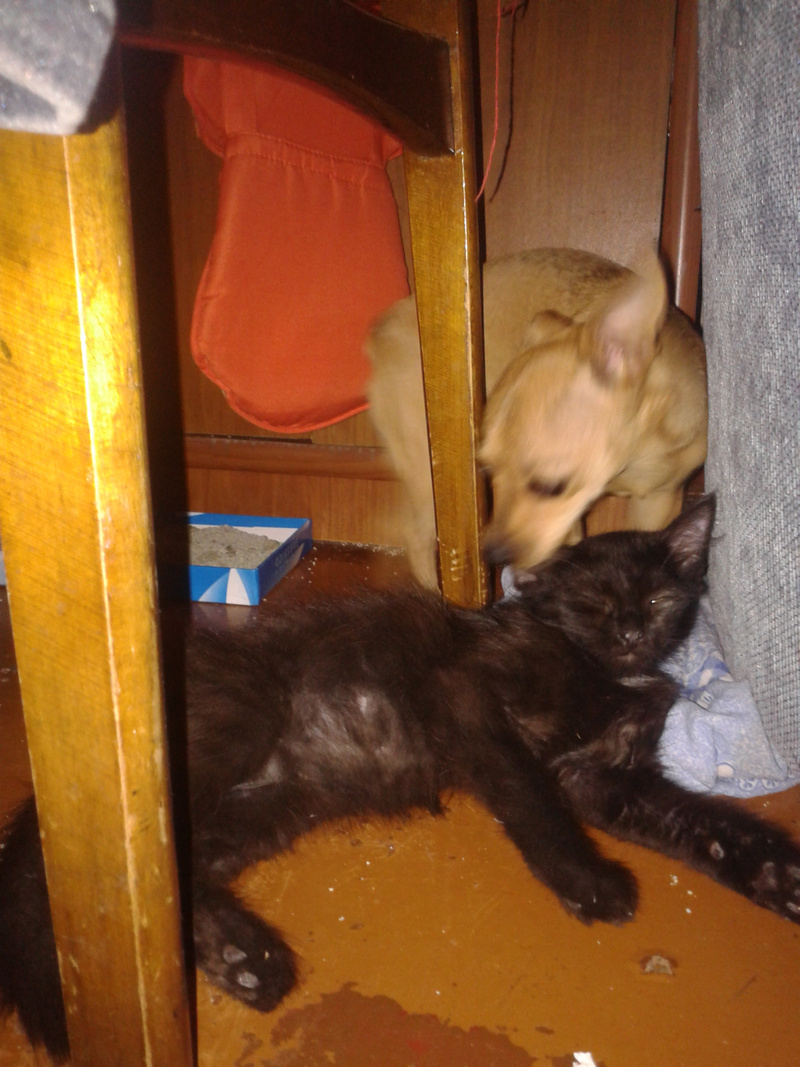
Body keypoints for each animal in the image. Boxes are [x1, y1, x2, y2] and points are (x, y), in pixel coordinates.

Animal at [1, 494, 799, 1061]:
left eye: (660, 602)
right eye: (596, 605)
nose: (633, 634)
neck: (602, 670)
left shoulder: (605, 780)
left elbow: (705, 824)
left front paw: (778, 874)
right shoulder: (471, 697)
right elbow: (532, 799)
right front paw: (587, 882)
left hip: (272, 804)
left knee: (183, 874)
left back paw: (243, 960)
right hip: (233, 734)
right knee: (103, 875)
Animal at [367, 247, 707, 588]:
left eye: (551, 487)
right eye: (488, 470)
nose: (493, 555)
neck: (636, 457)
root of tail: (382, 330)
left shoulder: (656, 503)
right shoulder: (566, 527)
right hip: (428, 475)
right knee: (416, 536)